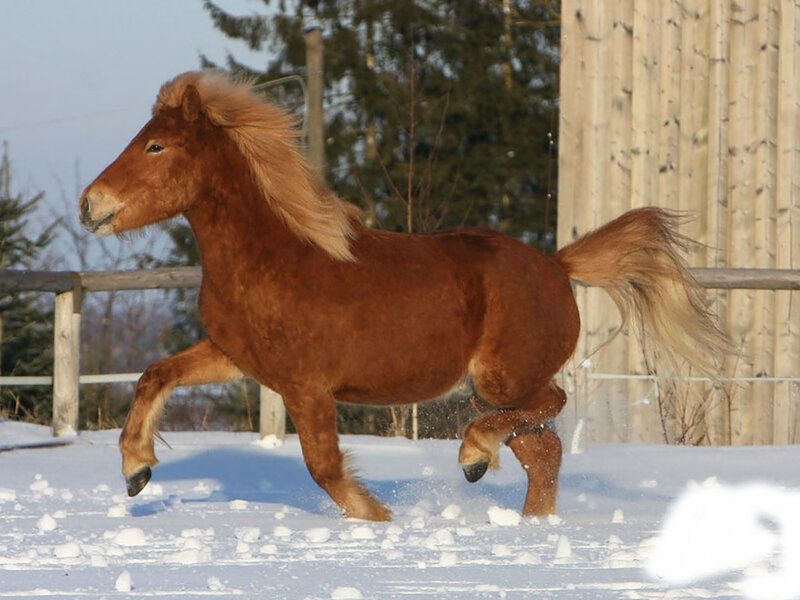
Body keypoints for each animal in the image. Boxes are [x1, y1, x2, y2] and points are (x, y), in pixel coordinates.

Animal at [80, 71, 731, 521]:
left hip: (503, 379)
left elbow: (324, 467)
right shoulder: (235, 356)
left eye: (156, 147)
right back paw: (527, 521)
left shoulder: (306, 386)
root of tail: (556, 264)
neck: (274, 258)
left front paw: (379, 519)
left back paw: (475, 457)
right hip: (496, 386)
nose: (90, 205)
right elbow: (154, 376)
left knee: (550, 407)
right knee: (543, 448)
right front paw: (136, 470)